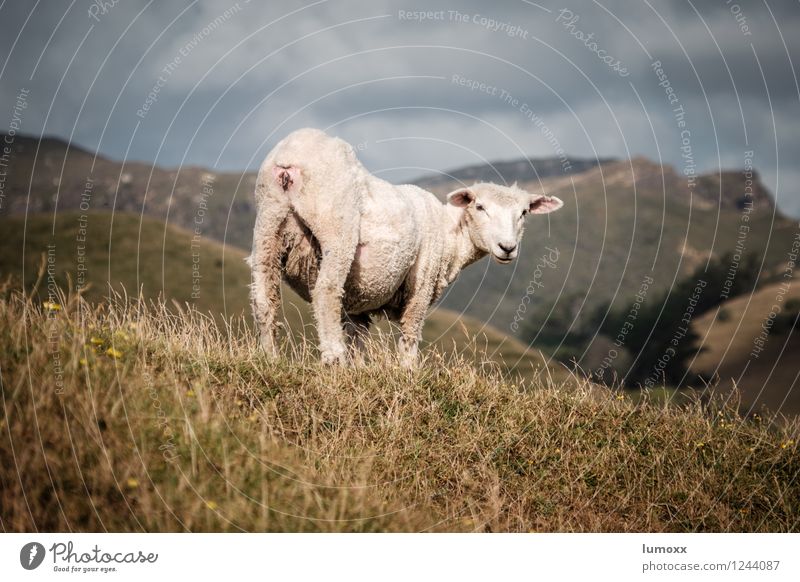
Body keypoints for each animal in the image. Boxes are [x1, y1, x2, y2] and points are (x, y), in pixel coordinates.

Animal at [248, 128, 564, 368]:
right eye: (479, 207)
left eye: (524, 212)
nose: (507, 247)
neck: (450, 235)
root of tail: (292, 157)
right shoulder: (421, 283)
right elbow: (411, 332)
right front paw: (408, 372)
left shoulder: (358, 301)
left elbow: (356, 337)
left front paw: (358, 371)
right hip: (337, 224)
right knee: (326, 291)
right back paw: (334, 360)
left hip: (268, 222)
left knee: (264, 296)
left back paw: (270, 358)